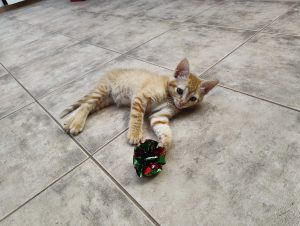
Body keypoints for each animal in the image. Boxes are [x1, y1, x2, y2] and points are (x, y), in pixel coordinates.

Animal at [61, 59, 219, 149]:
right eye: (179, 91)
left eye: (193, 99)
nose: (181, 104)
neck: (168, 97)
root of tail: (111, 72)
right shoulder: (140, 98)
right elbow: (137, 118)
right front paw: (135, 134)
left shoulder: (159, 116)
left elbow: (163, 129)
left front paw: (165, 143)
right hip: (103, 90)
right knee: (86, 105)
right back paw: (76, 124)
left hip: (105, 100)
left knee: (88, 106)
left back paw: (69, 122)